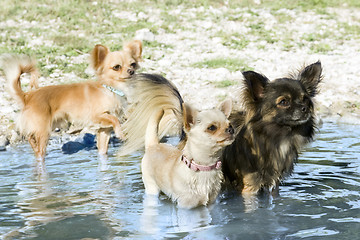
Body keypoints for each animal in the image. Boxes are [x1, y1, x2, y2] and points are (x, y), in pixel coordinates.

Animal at [1, 40, 142, 160]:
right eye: (117, 67)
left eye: (133, 64)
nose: (131, 71)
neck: (111, 90)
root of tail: (27, 96)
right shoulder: (96, 116)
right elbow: (115, 119)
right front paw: (121, 133)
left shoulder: (104, 131)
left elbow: (103, 151)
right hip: (44, 130)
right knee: (38, 148)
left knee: (30, 137)